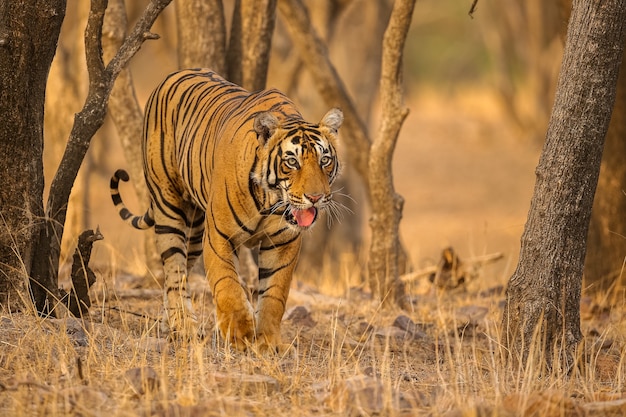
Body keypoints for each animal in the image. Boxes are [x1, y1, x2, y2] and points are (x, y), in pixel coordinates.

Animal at [108, 69, 342, 352]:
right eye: (292, 162)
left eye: (324, 160)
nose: (316, 198)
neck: (269, 201)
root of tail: (174, 74)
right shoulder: (219, 235)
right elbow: (227, 284)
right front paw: (240, 334)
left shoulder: (283, 243)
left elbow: (275, 293)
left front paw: (268, 342)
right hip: (169, 204)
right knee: (174, 270)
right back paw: (184, 326)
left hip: (195, 230)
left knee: (178, 273)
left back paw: (169, 324)